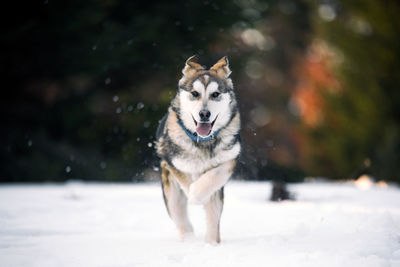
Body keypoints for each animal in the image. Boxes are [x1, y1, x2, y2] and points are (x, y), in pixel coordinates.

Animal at [155, 55, 239, 244]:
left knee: (213, 221)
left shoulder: (230, 156)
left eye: (215, 94)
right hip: (171, 196)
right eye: (195, 93)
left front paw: (199, 192)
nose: (204, 114)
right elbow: (186, 178)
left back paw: (211, 244)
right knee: (181, 219)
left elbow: (216, 174)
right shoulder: (171, 158)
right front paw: (193, 194)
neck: (203, 141)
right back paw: (189, 240)